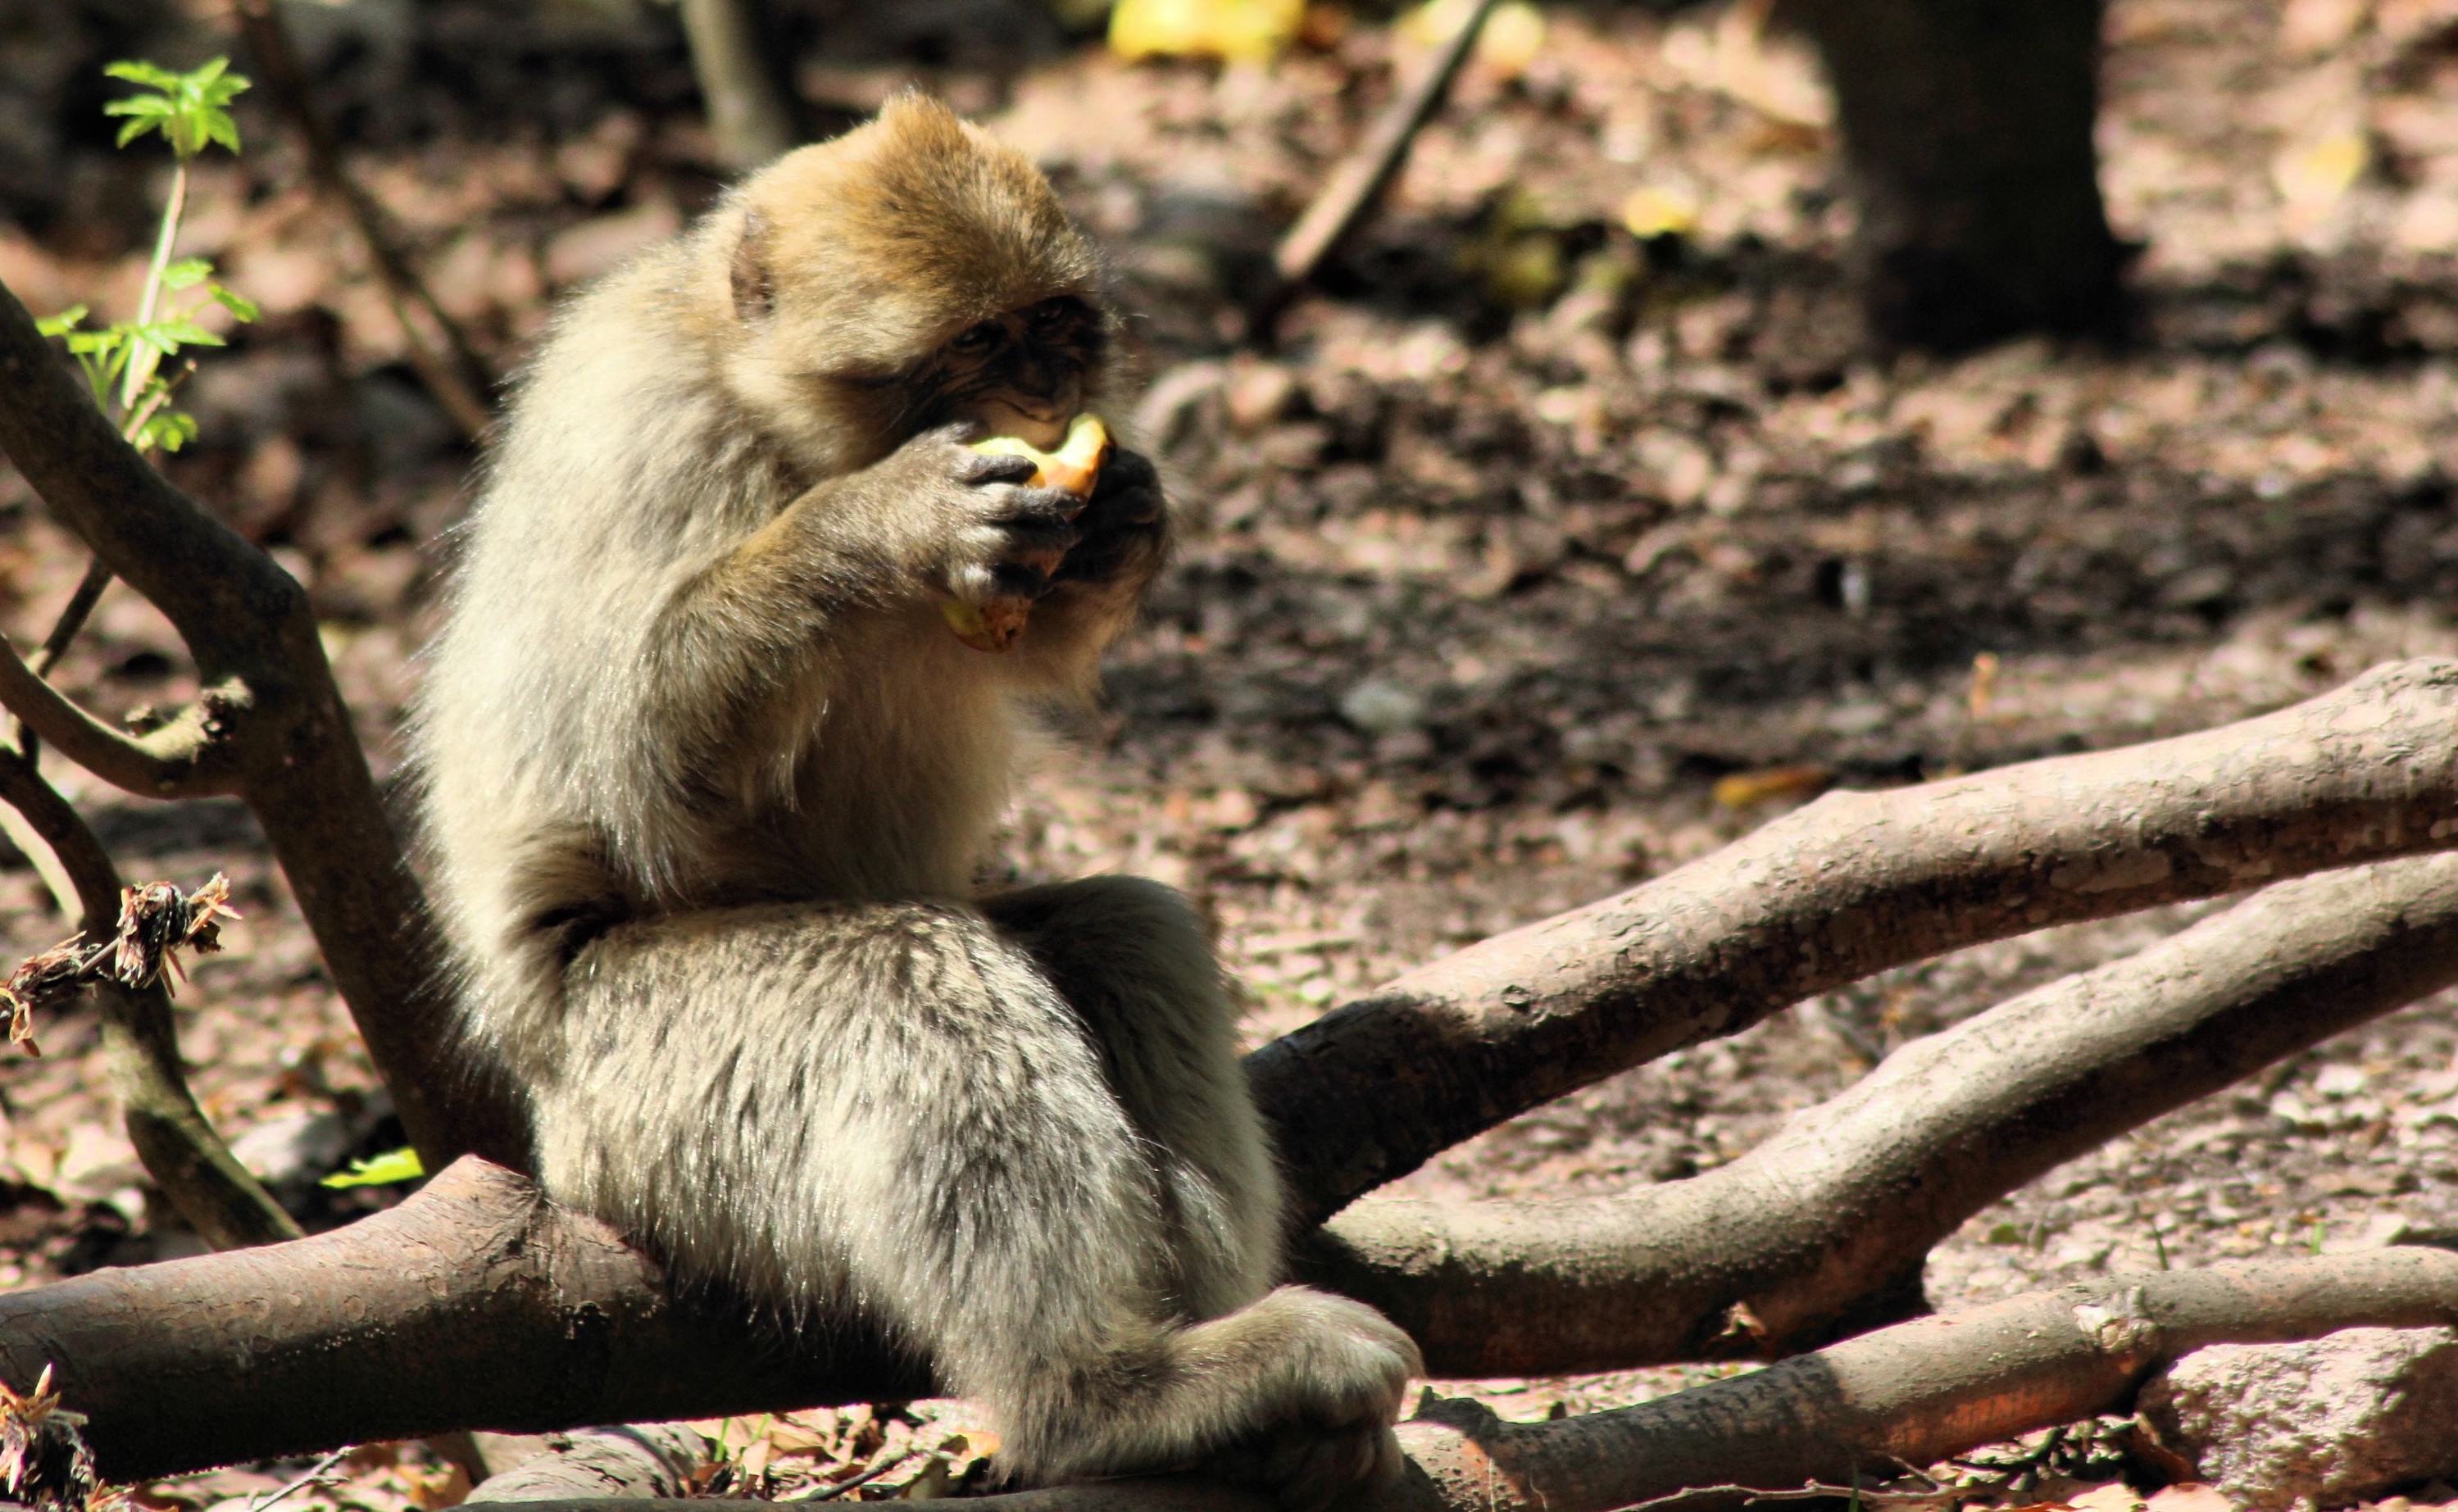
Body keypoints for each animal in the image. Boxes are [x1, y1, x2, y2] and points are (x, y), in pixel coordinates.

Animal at [412, 98, 1425, 1512]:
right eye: (976, 344)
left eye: (1054, 324)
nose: (1047, 397)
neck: (772, 416)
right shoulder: (646, 434)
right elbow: (634, 778)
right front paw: (878, 527)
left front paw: (1127, 516)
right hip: (634, 1102)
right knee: (902, 983)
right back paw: (1109, 1393)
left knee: (1123, 932)